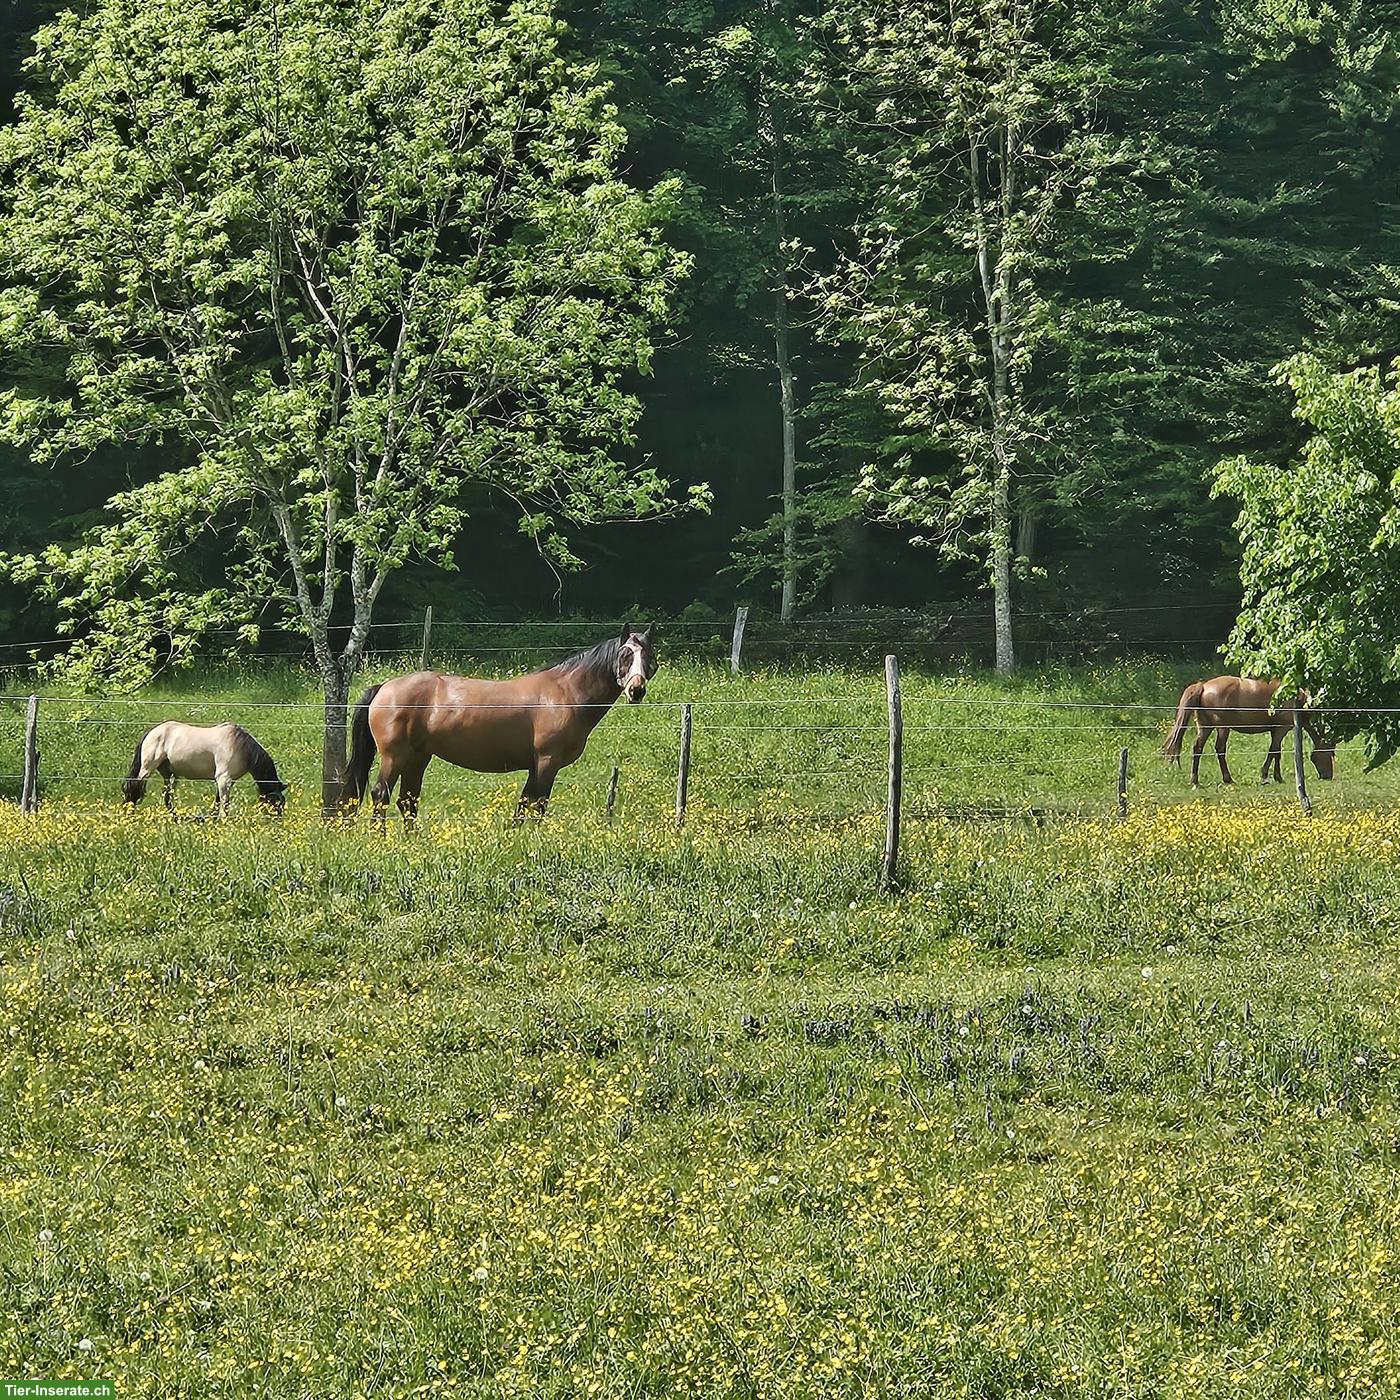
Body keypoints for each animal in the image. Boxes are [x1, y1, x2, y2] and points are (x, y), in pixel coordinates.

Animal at [122, 721, 288, 815]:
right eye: (274, 802)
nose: (277, 820)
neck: (241, 747)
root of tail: (151, 732)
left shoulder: (227, 781)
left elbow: (218, 800)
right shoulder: (223, 779)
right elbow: (224, 803)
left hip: (169, 774)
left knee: (167, 797)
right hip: (147, 769)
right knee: (134, 786)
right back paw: (130, 811)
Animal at [345, 625, 657, 826]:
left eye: (649, 657)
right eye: (625, 656)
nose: (636, 690)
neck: (565, 693)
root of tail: (385, 687)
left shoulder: (535, 765)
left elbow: (523, 805)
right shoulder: (547, 761)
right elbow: (538, 804)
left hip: (418, 757)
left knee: (407, 801)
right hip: (394, 756)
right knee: (381, 795)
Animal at [1162, 676, 1335, 788]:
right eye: (1329, 754)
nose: (1328, 776)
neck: (1296, 699)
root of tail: (1203, 686)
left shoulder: (1276, 730)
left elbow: (1276, 753)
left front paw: (1276, 777)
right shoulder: (1281, 729)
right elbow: (1273, 751)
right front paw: (1267, 776)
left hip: (1205, 727)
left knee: (1197, 748)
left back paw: (1195, 781)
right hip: (1223, 728)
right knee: (1219, 749)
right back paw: (1226, 779)